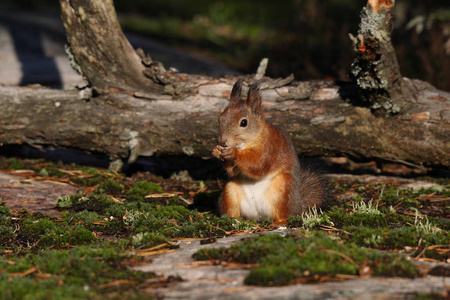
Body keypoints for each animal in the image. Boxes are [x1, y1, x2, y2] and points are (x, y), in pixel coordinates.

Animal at [212, 78, 326, 224]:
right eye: (219, 118)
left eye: (244, 123)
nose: (223, 141)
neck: (249, 142)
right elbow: (234, 172)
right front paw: (216, 151)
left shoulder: (270, 146)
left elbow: (258, 164)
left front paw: (233, 153)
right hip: (230, 190)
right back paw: (233, 220)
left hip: (282, 190)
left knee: (285, 214)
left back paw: (279, 222)